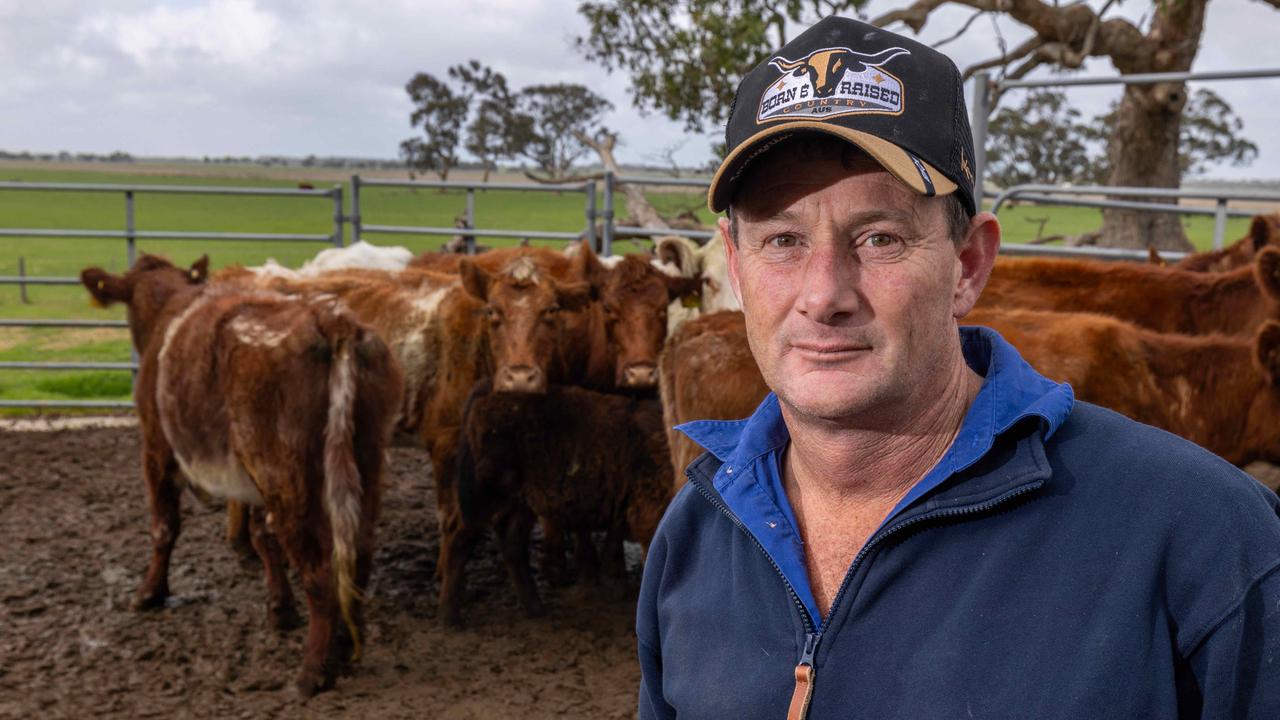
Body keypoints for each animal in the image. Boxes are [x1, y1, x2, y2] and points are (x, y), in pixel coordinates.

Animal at [81, 253, 399, 696]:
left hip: (287, 474)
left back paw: (315, 670)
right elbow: (263, 536)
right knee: (357, 553)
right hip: (365, 458)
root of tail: (330, 319)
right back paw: (345, 645)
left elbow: (164, 527)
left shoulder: (156, 449)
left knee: (320, 568)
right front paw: (280, 609)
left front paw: (149, 592)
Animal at [445, 381, 675, 622]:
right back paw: (450, 614)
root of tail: (487, 388)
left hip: (522, 504)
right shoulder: (649, 518)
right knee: (459, 539)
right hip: (482, 497)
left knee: (511, 544)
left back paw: (534, 607)